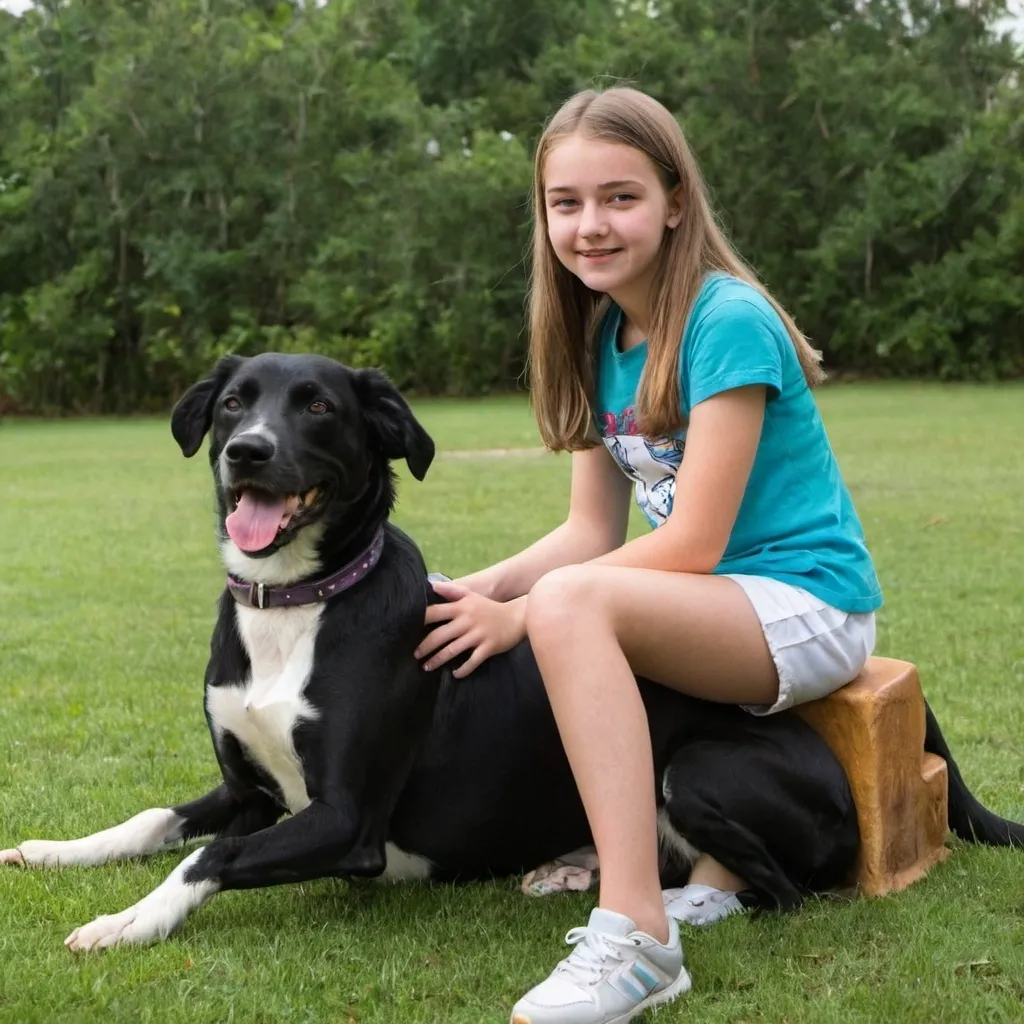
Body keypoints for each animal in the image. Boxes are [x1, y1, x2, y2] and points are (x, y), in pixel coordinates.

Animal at [4, 354, 1019, 950]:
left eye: (319, 406)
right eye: (231, 404)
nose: (247, 451)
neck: (299, 602)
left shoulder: (344, 820)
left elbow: (207, 857)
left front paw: (125, 921)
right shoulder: (249, 789)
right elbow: (155, 820)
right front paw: (56, 849)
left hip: (695, 769)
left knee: (782, 890)